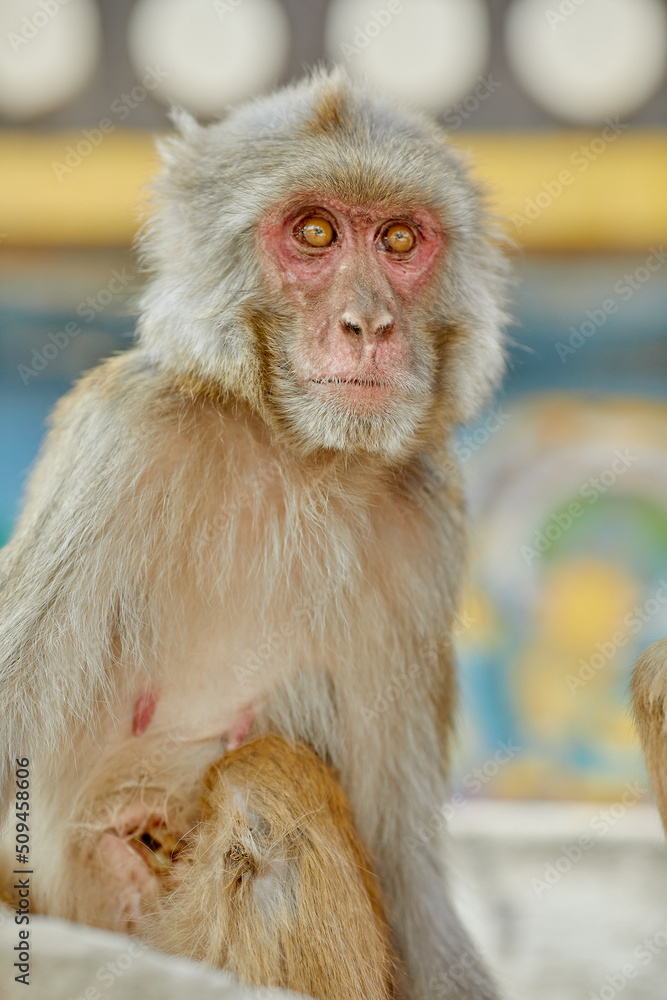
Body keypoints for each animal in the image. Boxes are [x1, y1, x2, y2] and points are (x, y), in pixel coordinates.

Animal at [0, 68, 508, 1000]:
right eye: (313, 232)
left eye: (398, 239)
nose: (368, 324)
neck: (296, 455)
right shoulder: (126, 439)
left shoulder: (425, 522)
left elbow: (405, 878)